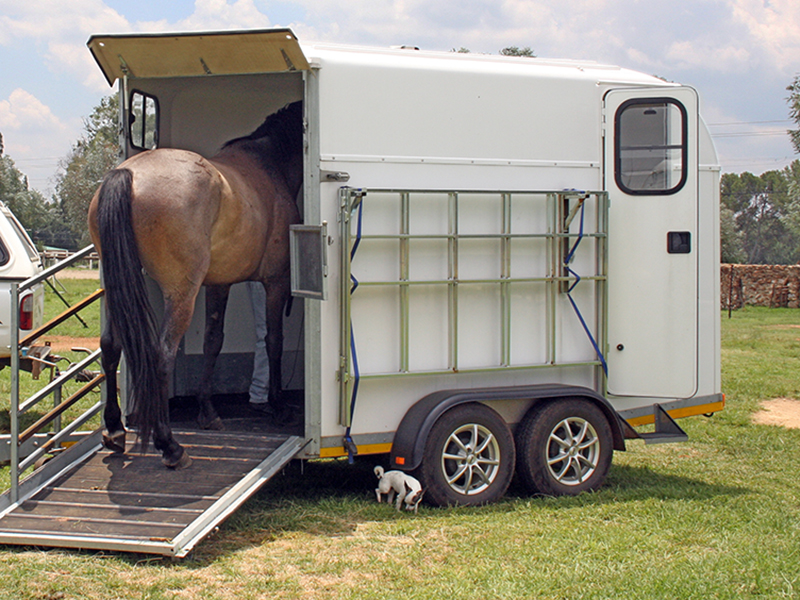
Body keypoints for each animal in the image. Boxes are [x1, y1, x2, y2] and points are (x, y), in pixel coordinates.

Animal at [87, 101, 303, 469]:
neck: (270, 163)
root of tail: (128, 174)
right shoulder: (276, 281)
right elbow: (273, 342)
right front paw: (278, 406)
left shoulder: (219, 283)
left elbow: (213, 341)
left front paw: (207, 411)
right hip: (181, 294)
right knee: (162, 354)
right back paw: (170, 446)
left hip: (119, 287)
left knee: (111, 346)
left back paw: (115, 430)